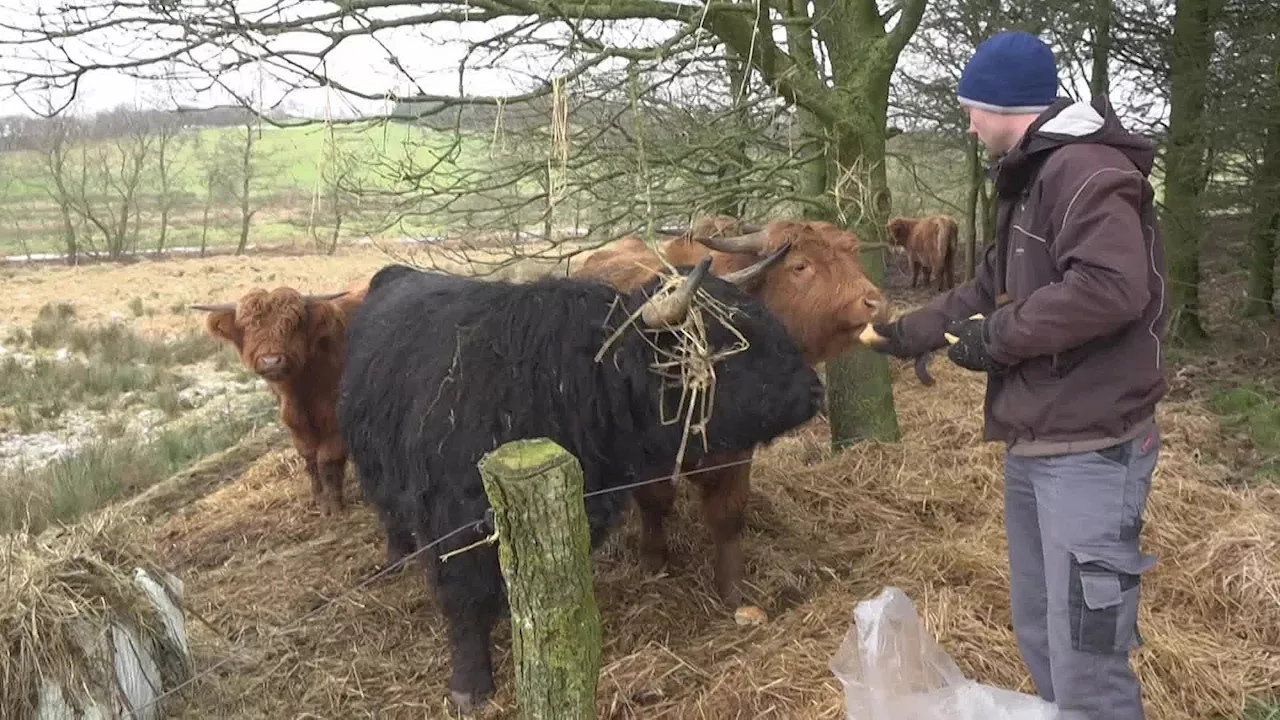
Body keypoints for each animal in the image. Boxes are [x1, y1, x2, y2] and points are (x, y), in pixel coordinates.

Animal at [190, 275, 371, 515]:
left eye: (293, 324)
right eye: (249, 326)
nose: (271, 361)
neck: (301, 389)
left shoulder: (334, 416)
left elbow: (328, 458)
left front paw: (334, 506)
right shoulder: (293, 419)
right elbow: (310, 457)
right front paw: (319, 499)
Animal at [335, 249, 824, 707]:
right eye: (727, 342)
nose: (815, 389)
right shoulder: (452, 522)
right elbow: (464, 600)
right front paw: (470, 683)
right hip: (376, 468)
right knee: (390, 515)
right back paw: (397, 558)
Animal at [578, 213, 890, 609]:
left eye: (853, 254)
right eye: (800, 265)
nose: (876, 303)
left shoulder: (738, 455)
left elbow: (728, 514)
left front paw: (732, 590)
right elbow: (656, 504)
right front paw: (654, 562)